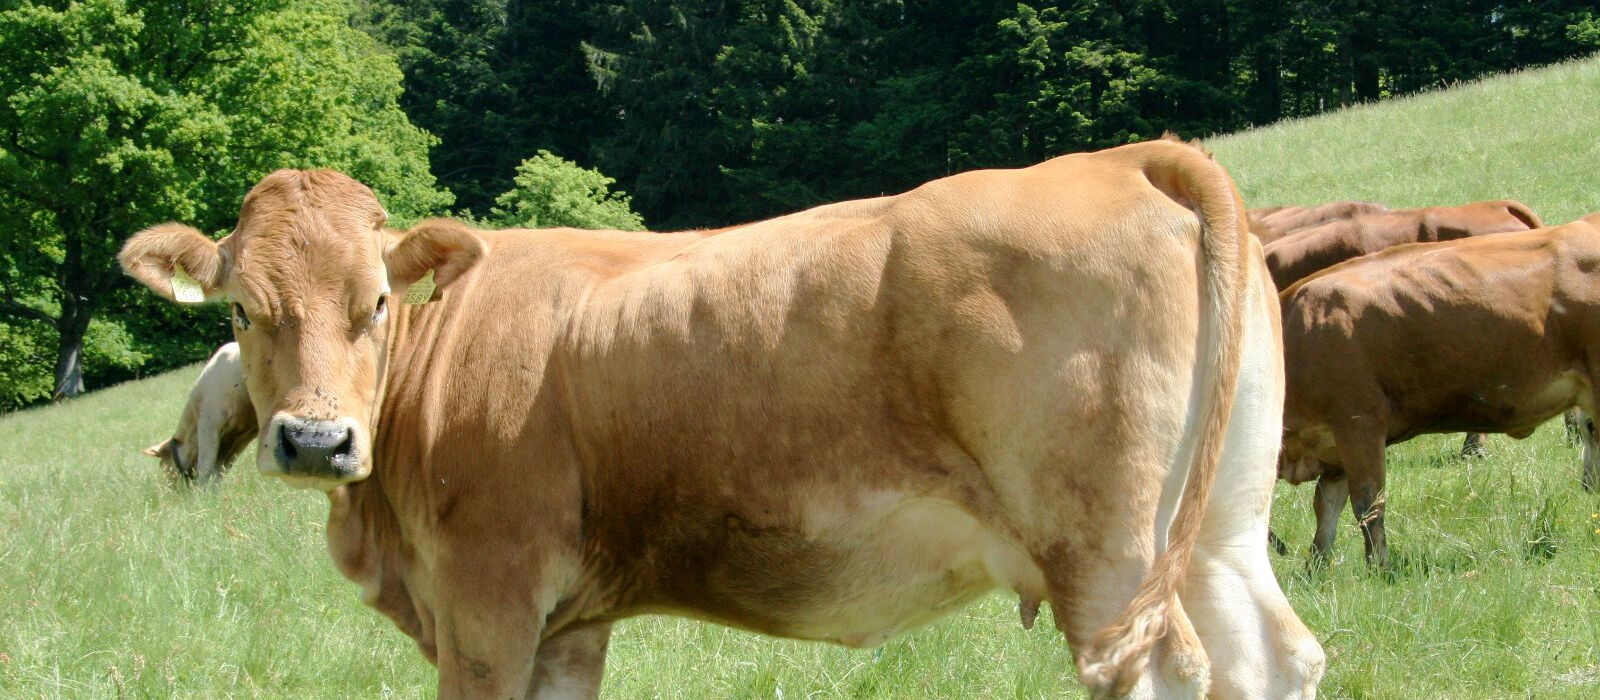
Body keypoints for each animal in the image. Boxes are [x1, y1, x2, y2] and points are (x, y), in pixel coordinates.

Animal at [143, 342, 258, 485]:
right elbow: (220, 470)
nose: (170, 486)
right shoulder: (241, 437)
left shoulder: (208, 425)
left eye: (163, 465)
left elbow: (205, 468)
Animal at [1278, 214, 1600, 567]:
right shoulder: (1331, 449)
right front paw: (1315, 567)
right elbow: (1326, 508)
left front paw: (1379, 567)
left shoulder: (1357, 424)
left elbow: (1368, 505)